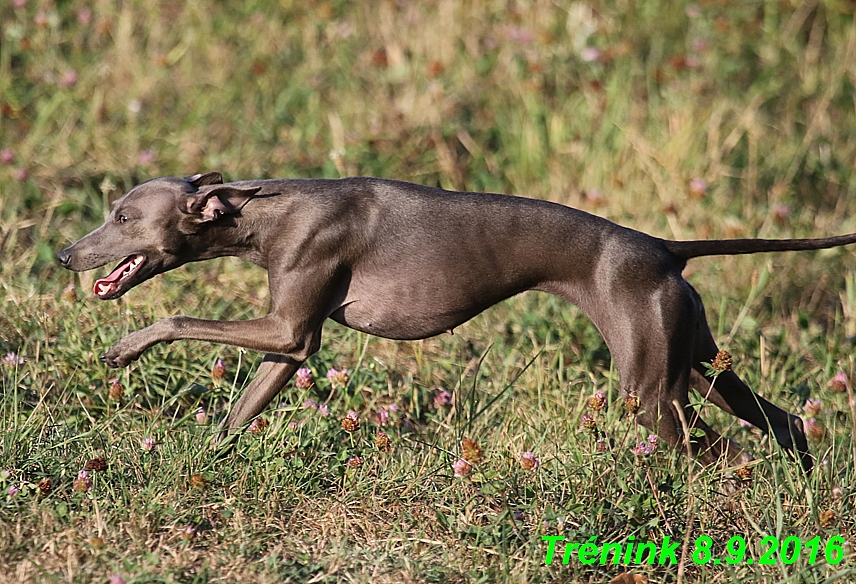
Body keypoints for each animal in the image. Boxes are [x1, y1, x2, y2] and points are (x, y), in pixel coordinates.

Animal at [56, 172, 852, 470]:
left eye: (122, 216)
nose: (65, 253)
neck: (268, 211)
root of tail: (662, 247)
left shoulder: (287, 329)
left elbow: (178, 314)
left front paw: (125, 348)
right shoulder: (291, 345)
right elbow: (239, 412)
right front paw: (200, 461)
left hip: (651, 388)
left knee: (715, 449)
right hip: (698, 361)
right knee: (784, 422)